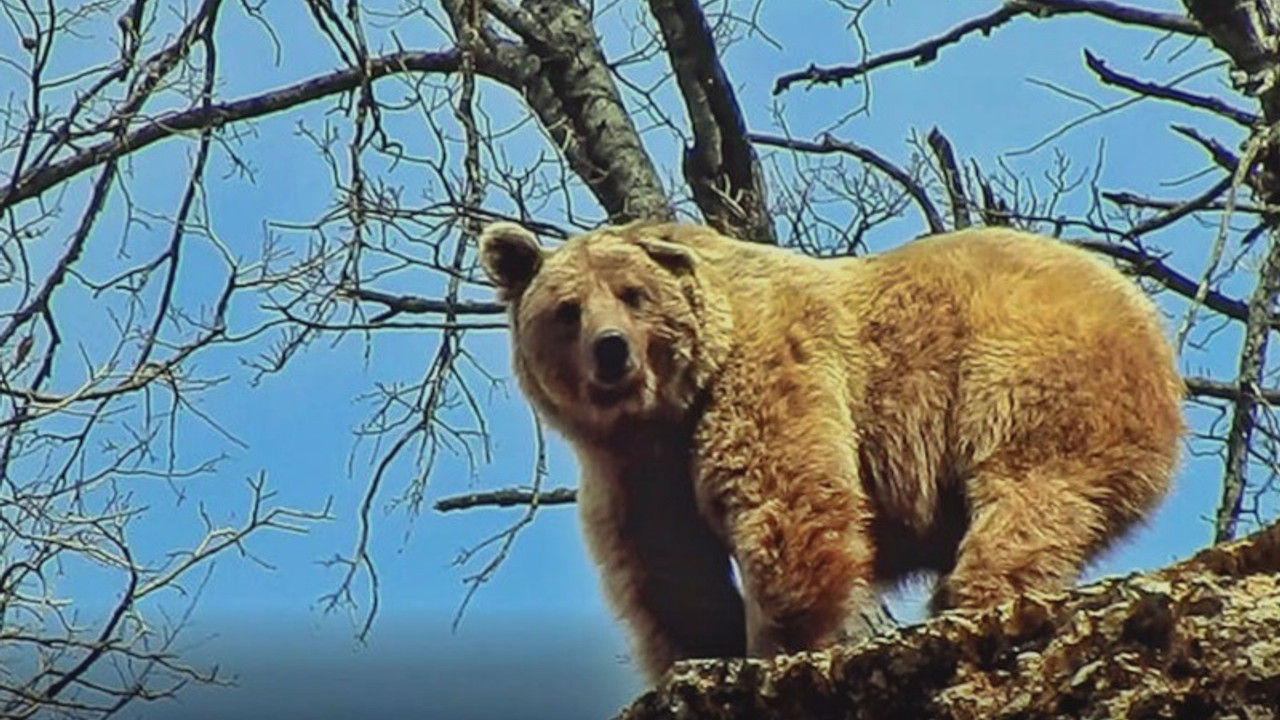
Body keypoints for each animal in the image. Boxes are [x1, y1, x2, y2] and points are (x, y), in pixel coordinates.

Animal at [478, 221, 1177, 681]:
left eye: (632, 294)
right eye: (567, 310)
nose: (611, 349)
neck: (666, 408)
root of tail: (1141, 309)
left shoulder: (765, 371)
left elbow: (786, 499)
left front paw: (774, 648)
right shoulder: (635, 469)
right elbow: (671, 568)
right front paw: (701, 653)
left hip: (1030, 364)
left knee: (1030, 490)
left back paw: (969, 598)